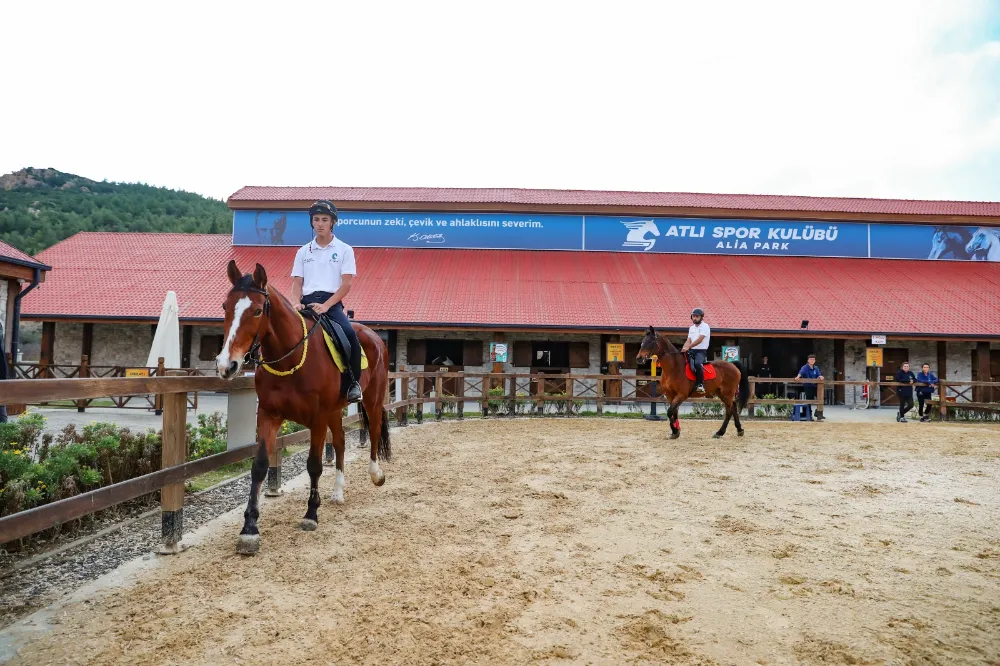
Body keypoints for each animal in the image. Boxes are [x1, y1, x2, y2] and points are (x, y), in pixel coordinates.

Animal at [217, 260, 392, 556]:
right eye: (225, 307)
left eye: (256, 310)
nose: (226, 365)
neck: (291, 358)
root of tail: (374, 336)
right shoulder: (269, 415)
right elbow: (260, 465)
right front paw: (249, 529)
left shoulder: (317, 418)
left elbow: (314, 465)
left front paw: (311, 514)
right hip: (336, 410)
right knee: (341, 442)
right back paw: (338, 492)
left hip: (372, 399)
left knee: (376, 428)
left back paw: (376, 474)